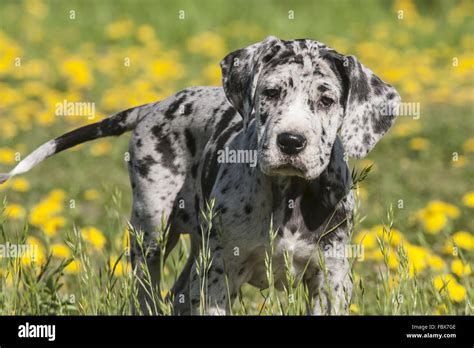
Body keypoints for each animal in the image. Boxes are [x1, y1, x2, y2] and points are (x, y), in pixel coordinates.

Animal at [0, 36, 400, 316]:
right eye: (271, 92)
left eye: (326, 100)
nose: (290, 141)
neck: (288, 195)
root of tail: (155, 106)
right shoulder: (218, 278)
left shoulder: (330, 281)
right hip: (152, 233)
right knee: (146, 292)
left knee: (177, 294)